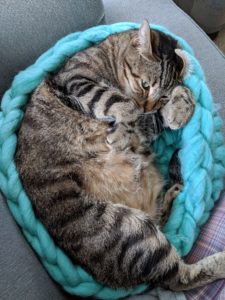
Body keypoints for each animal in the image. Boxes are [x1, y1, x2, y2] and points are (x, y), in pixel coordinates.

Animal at [15, 20, 225, 290]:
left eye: (163, 95)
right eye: (145, 85)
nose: (148, 105)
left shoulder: (144, 125)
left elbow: (163, 108)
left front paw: (177, 107)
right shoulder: (75, 78)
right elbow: (123, 104)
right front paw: (127, 126)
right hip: (129, 232)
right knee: (179, 278)